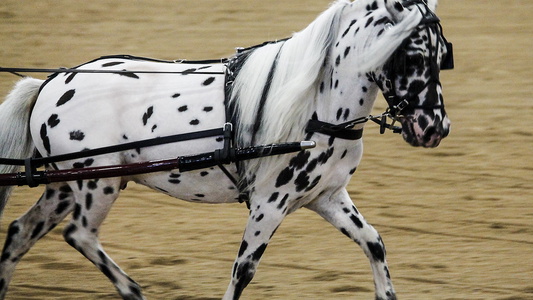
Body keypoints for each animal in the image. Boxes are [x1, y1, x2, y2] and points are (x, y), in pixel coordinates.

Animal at [0, 1, 450, 298]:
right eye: (411, 55)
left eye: (444, 55)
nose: (435, 129)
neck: (313, 108)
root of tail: (50, 83)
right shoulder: (269, 202)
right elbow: (244, 270)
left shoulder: (326, 196)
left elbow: (374, 242)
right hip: (97, 185)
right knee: (80, 235)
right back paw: (132, 289)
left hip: (66, 186)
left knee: (20, 233)